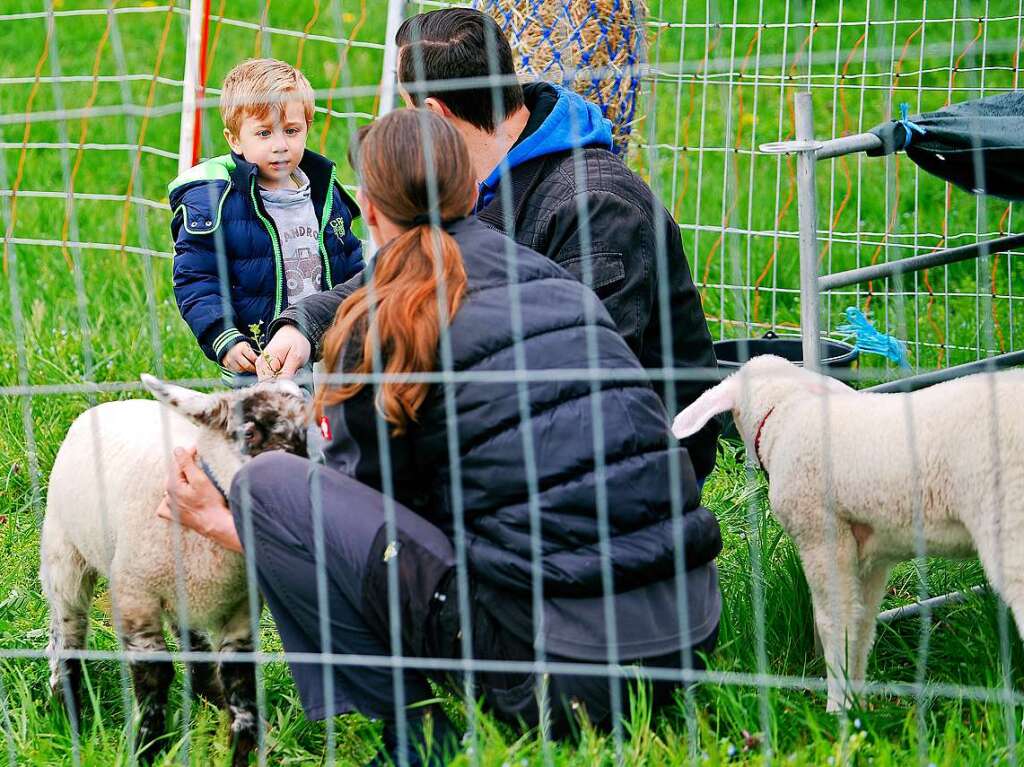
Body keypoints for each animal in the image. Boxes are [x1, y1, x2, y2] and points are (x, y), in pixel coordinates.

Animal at [38, 374, 307, 761]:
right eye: (249, 432)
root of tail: (114, 403)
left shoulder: (242, 608)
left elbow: (239, 677)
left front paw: (245, 747)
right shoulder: (135, 598)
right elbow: (154, 674)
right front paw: (147, 749)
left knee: (193, 640)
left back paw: (210, 695)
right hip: (64, 553)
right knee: (67, 630)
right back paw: (66, 708)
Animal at [671, 356, 1024, 708]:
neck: (785, 413)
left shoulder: (821, 534)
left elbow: (834, 622)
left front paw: (837, 706)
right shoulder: (873, 554)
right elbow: (861, 622)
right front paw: (859, 703)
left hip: (1009, 519)